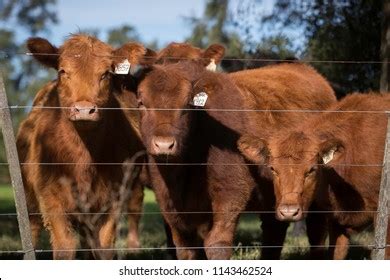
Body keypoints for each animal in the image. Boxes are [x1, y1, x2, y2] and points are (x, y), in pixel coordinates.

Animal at [18, 34, 151, 260]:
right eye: (63, 71)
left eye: (106, 73)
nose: (83, 109)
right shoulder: (51, 198)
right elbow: (64, 249)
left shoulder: (114, 198)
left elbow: (104, 248)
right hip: (30, 196)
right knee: (33, 228)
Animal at [137, 60, 336, 260]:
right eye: (142, 104)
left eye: (186, 106)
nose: (164, 144)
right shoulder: (169, 203)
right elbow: (185, 248)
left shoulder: (230, 190)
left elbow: (217, 243)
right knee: (274, 230)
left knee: (317, 231)